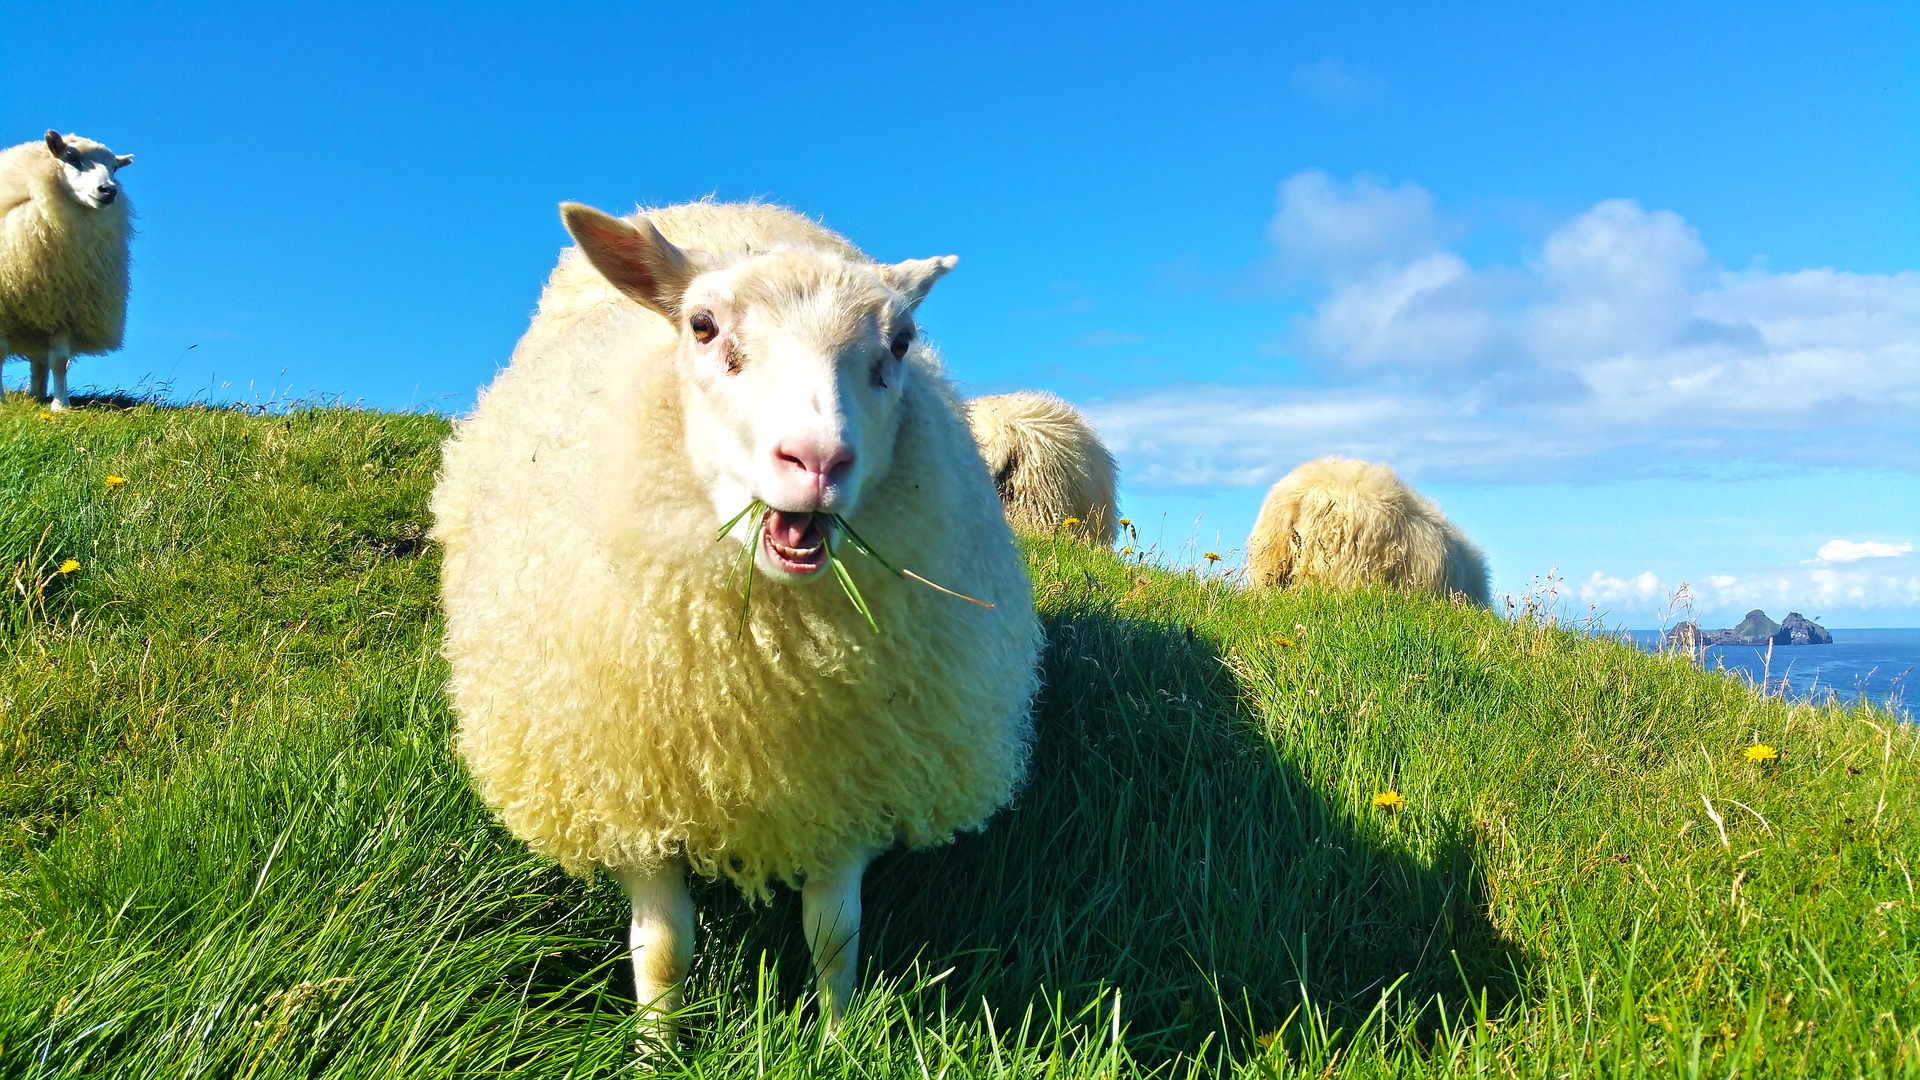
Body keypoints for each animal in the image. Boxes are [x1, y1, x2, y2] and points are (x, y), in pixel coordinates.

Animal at [0, 130, 134, 407]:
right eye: (71, 156)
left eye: (115, 168)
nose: (108, 191)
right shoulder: (4, 309)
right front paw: (1, 401)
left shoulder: (66, 308)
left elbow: (60, 361)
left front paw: (61, 405)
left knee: (40, 360)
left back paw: (38, 394)